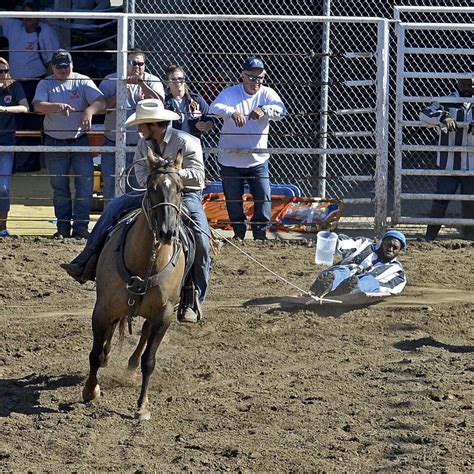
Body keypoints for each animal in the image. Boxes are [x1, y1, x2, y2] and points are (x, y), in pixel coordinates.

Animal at [81, 150, 185, 420]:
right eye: (152, 187)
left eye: (180, 188)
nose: (167, 231)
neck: (146, 260)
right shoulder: (102, 309)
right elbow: (95, 354)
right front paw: (90, 390)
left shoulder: (164, 314)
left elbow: (150, 360)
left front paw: (142, 406)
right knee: (108, 338)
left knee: (144, 336)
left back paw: (131, 363)